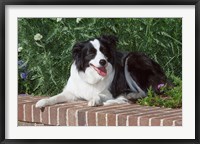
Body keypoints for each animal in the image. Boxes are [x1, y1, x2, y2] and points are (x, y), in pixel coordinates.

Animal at [36, 34, 167, 107]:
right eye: (91, 53)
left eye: (104, 51)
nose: (103, 61)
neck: (92, 76)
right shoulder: (71, 92)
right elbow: (55, 97)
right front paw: (43, 102)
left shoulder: (109, 93)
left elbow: (98, 94)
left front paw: (95, 100)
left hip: (132, 59)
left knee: (145, 92)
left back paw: (130, 94)